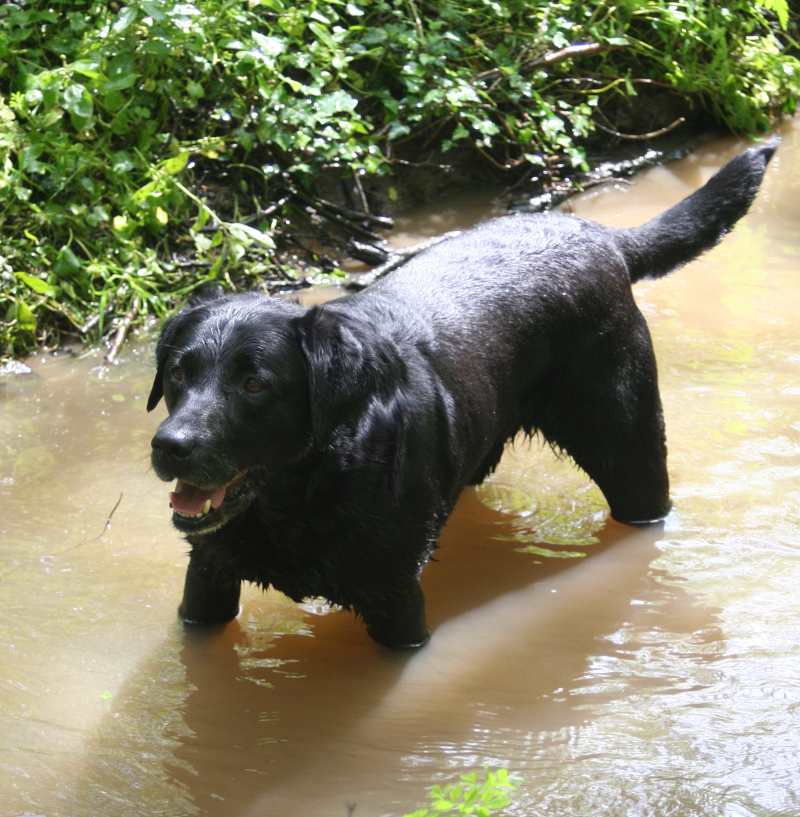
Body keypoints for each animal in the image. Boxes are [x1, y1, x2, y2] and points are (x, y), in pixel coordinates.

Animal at [148, 142, 776, 652]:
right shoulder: (206, 580)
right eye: (178, 373)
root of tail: (602, 236)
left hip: (631, 452)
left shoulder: (395, 602)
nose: (170, 445)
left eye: (254, 384)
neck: (295, 496)